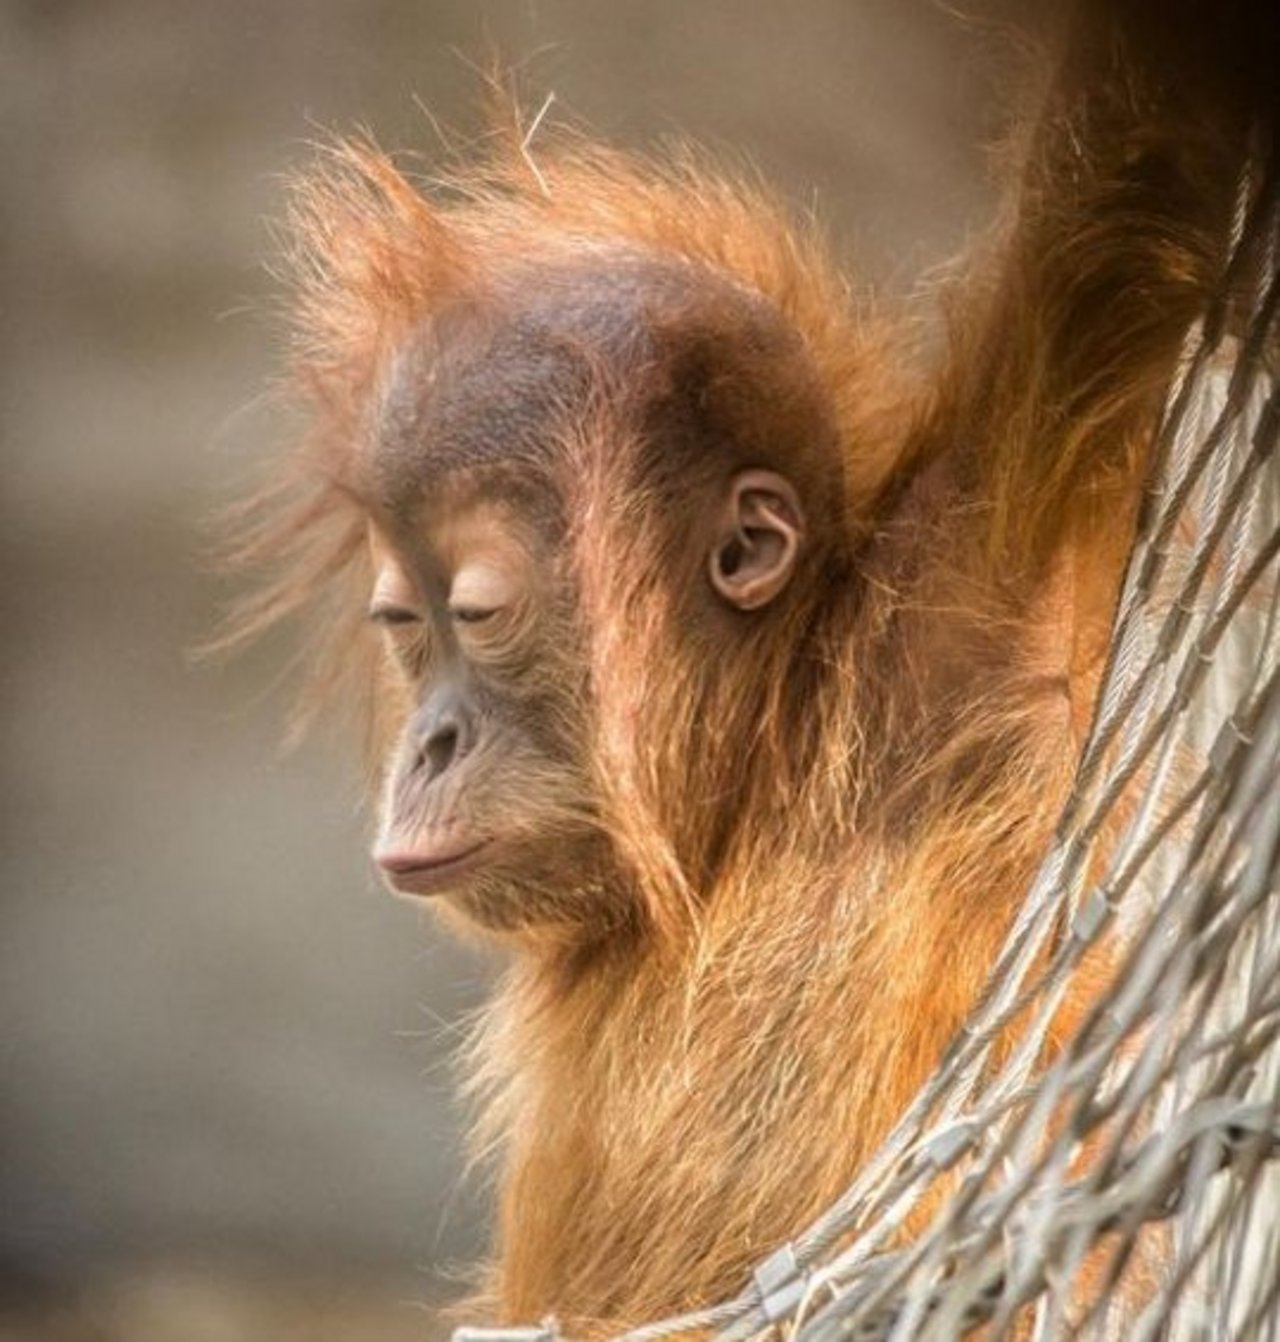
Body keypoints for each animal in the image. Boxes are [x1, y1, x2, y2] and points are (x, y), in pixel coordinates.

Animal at [228, 0, 1276, 1333]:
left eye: (475, 614)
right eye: (404, 625)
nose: (431, 744)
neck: (758, 763)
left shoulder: (982, 578)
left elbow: (1131, 169)